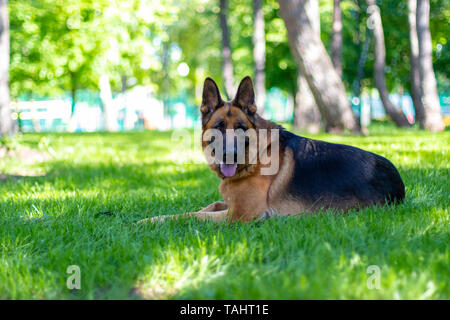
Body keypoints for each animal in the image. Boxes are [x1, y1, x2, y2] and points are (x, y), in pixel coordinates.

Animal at [142, 76, 406, 224]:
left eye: (241, 129)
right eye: (218, 127)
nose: (230, 154)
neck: (256, 157)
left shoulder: (238, 216)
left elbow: (189, 216)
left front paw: (149, 220)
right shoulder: (229, 206)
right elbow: (210, 205)